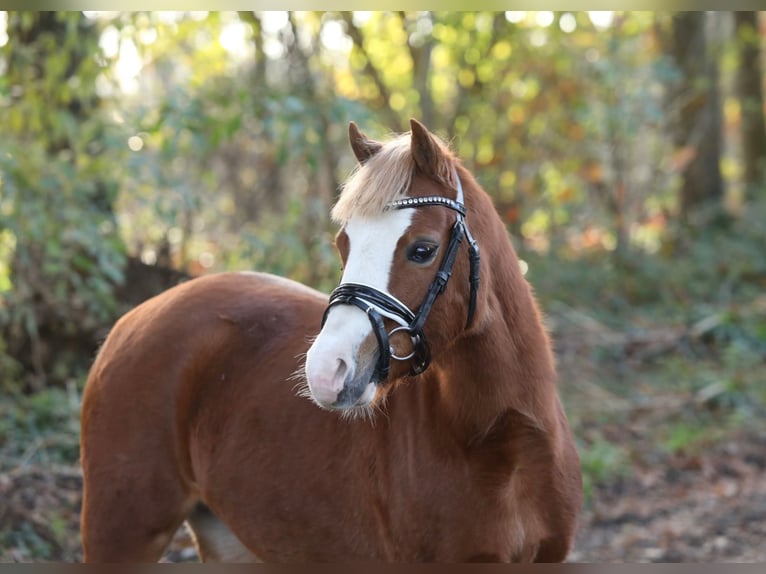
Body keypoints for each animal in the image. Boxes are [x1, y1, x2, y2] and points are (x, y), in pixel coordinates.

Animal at [81, 119, 584, 564]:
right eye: (344, 245)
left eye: (422, 249)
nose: (326, 371)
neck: (503, 443)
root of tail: (134, 320)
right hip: (123, 534)